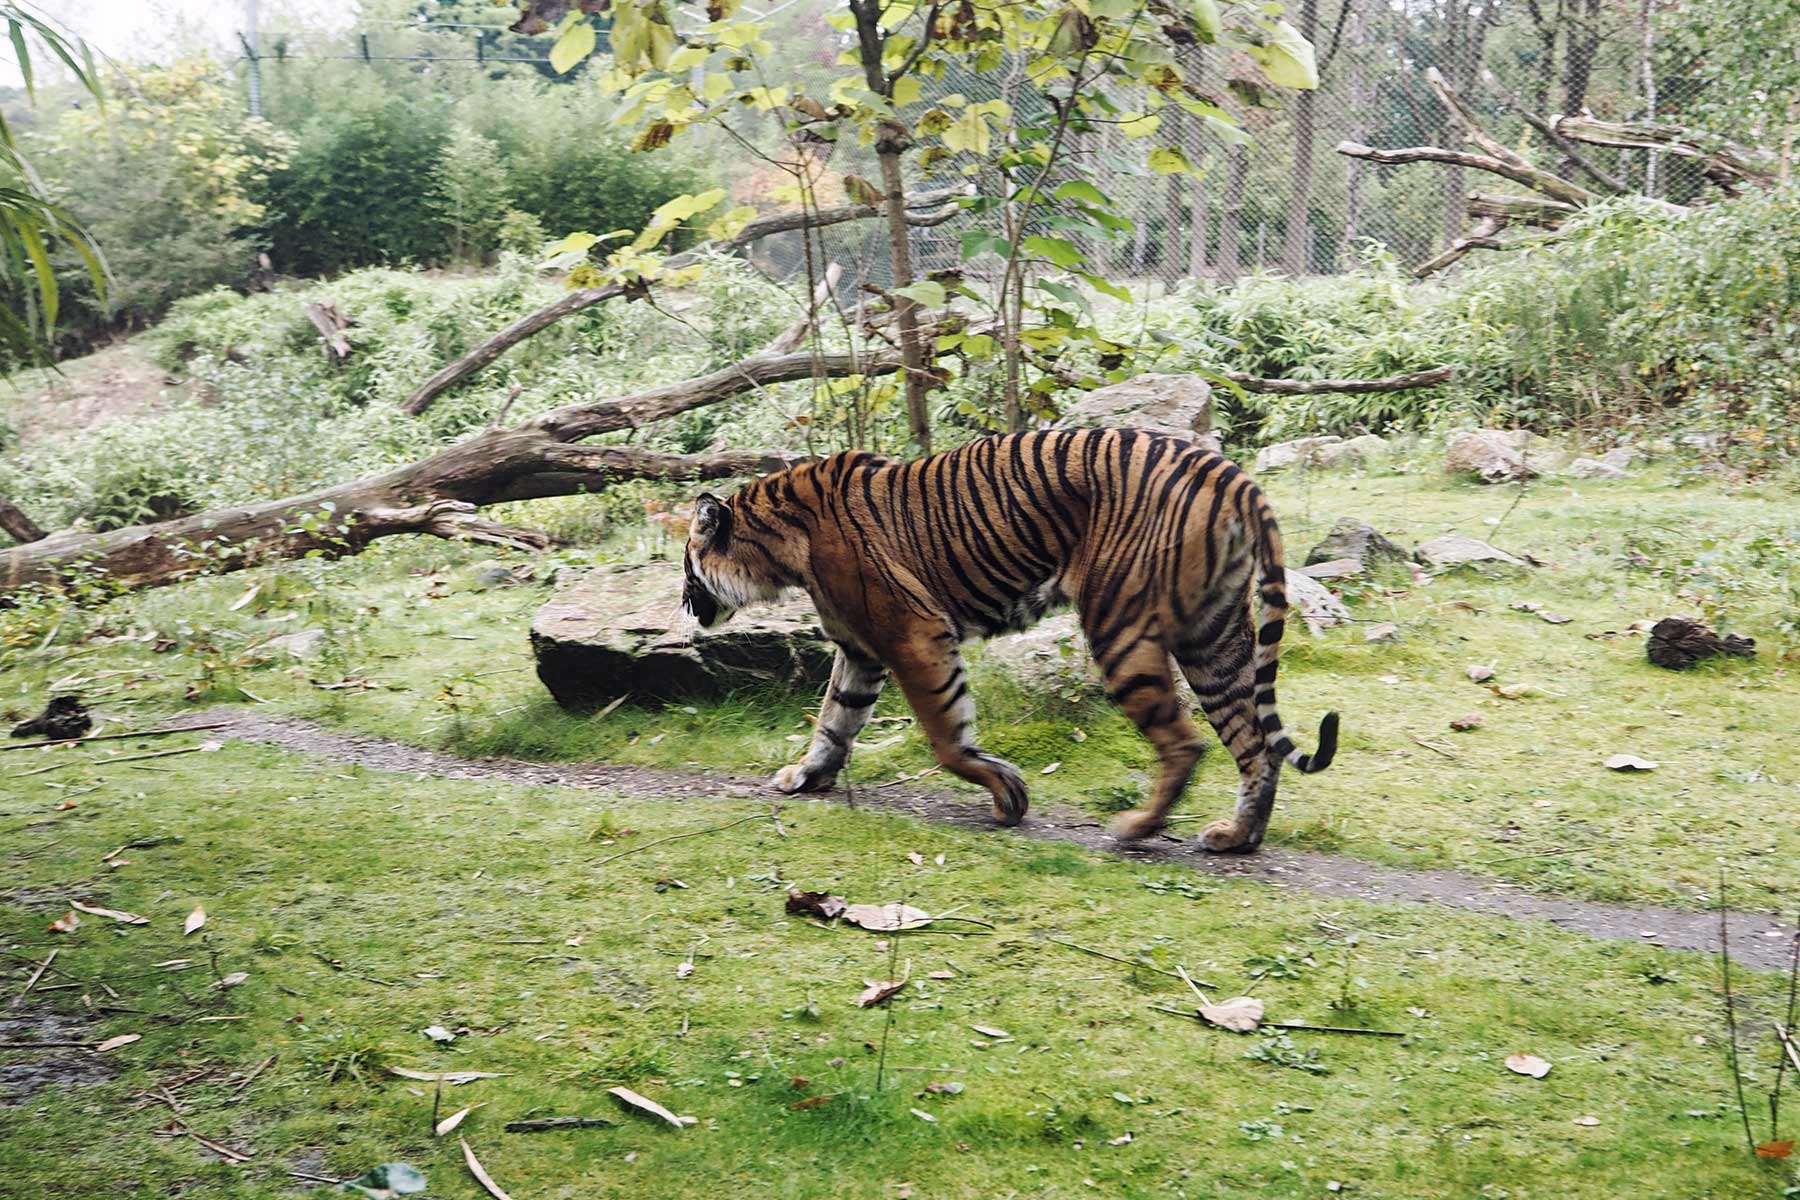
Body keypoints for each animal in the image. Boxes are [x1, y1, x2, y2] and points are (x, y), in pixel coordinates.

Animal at [680, 427, 1338, 851]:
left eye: (687, 568)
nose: (685, 606)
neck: (779, 548)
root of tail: (1223, 469)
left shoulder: (913, 634)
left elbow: (946, 735)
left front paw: (1006, 794)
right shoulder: (862, 651)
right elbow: (834, 720)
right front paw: (805, 776)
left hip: (1120, 625)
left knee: (1186, 742)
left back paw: (1137, 828)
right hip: (1213, 636)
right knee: (1253, 742)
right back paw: (1238, 837)